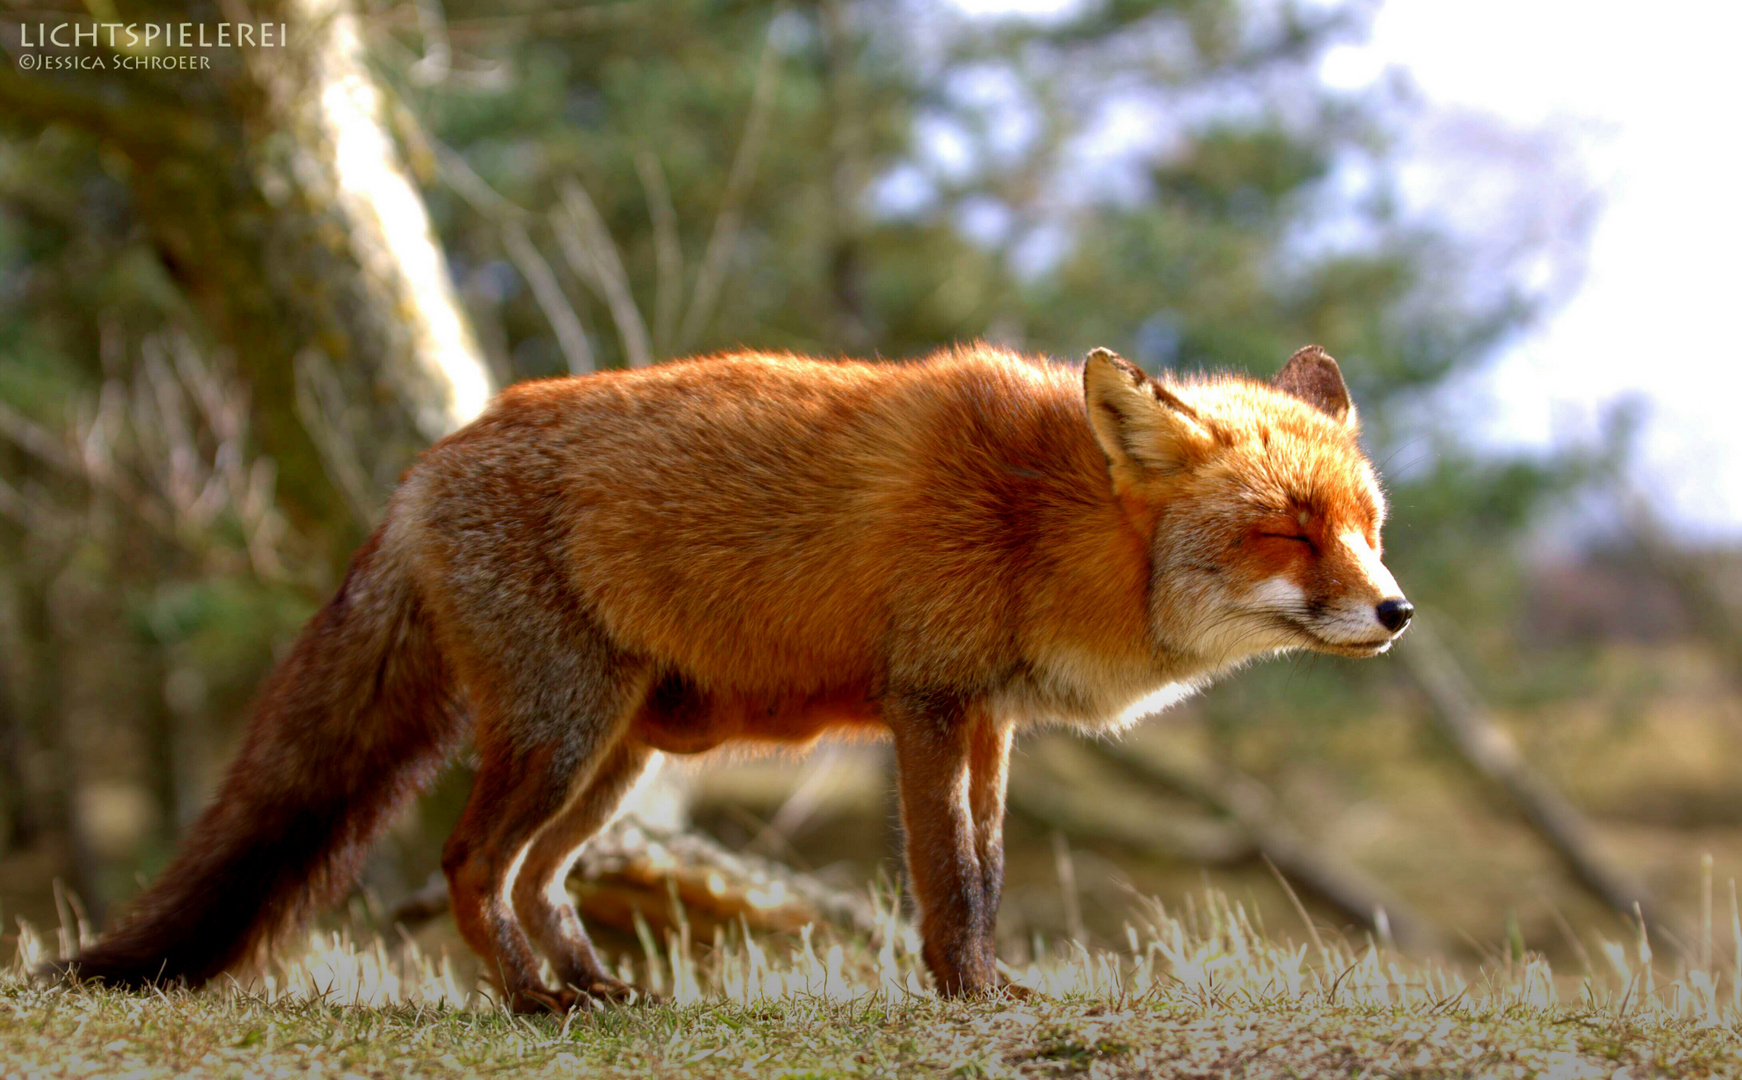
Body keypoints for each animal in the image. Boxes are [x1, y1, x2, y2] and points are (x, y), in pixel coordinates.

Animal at [54, 341, 1407, 1010]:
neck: (1046, 520)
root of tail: (428, 464)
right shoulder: (927, 705)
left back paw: (592, 984)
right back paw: (532, 1003)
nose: (1397, 612)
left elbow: (987, 868)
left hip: (612, 756)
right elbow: (948, 876)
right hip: (556, 733)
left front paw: (994, 981)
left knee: (540, 879)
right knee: (467, 864)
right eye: (1289, 532)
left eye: (1365, 526)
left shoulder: (988, 723)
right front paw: (969, 999)